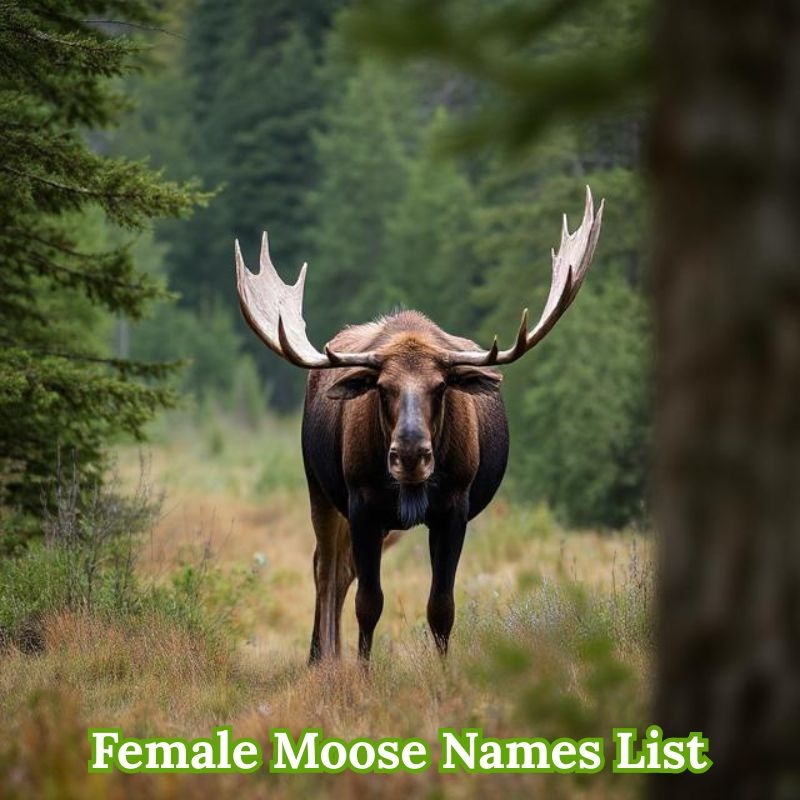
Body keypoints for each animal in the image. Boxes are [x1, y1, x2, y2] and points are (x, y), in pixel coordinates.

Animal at [235, 186, 603, 663]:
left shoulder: (454, 507)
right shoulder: (362, 502)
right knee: (325, 568)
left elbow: (441, 608)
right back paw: (322, 659)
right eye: (382, 388)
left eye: (441, 386)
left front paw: (444, 673)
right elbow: (369, 603)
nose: (410, 455)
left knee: (341, 569)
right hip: (320, 485)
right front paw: (363, 671)